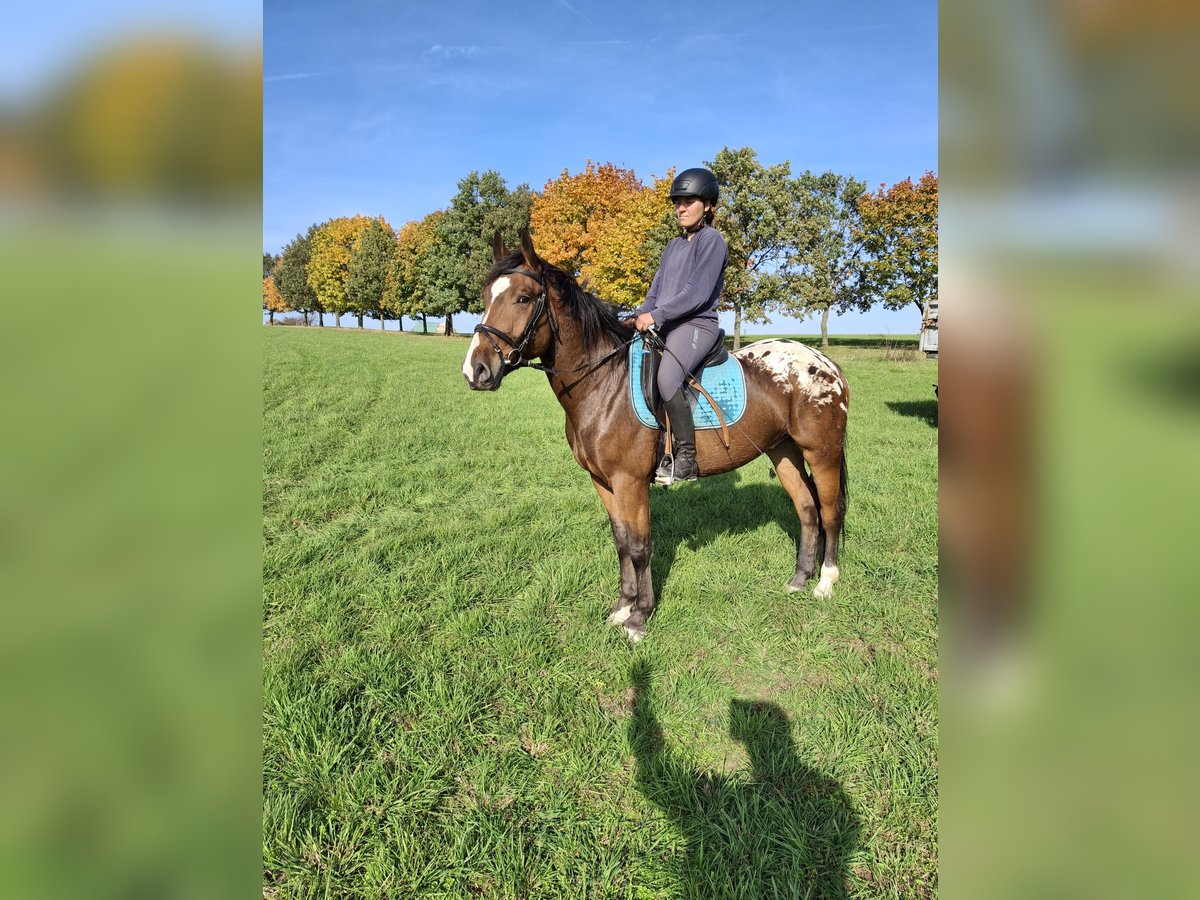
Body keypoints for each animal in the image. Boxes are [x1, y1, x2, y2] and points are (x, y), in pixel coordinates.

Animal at [463, 229, 849, 643]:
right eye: (486, 297)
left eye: (522, 298)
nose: (476, 370)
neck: (604, 382)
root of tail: (825, 363)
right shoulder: (603, 481)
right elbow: (621, 543)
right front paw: (622, 607)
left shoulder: (630, 482)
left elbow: (640, 546)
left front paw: (639, 617)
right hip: (783, 451)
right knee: (806, 509)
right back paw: (798, 580)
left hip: (822, 453)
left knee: (829, 512)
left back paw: (825, 583)